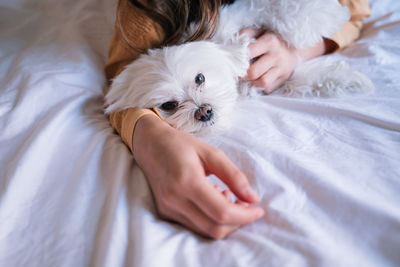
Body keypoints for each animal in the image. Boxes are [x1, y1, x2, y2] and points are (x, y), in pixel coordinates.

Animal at [104, 0, 374, 135]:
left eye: (200, 78)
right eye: (168, 105)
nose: (203, 111)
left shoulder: (235, 17)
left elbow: (275, 10)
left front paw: (327, 13)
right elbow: (303, 80)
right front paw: (350, 79)